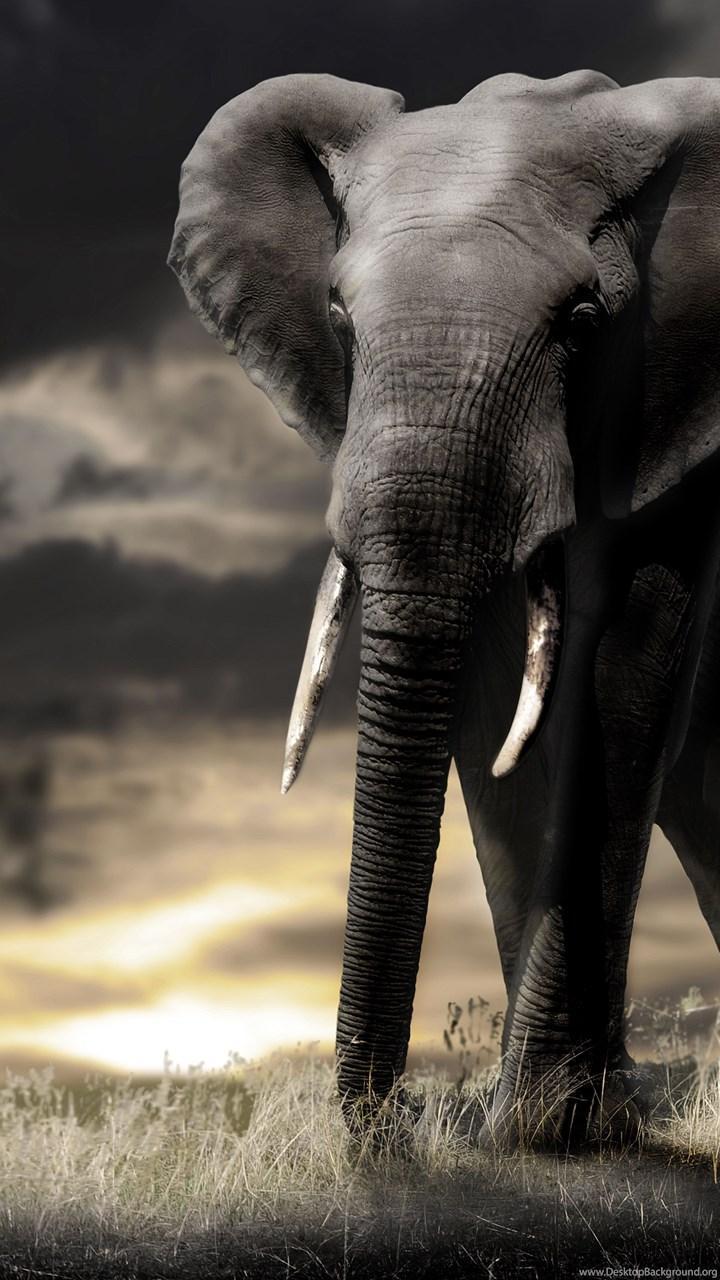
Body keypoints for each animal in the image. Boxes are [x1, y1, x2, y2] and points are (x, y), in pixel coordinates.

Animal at [169, 69, 720, 1142]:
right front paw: (555, 1128)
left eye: (582, 323)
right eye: (339, 316)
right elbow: (490, 703)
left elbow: (626, 680)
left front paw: (548, 1131)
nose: (404, 1114)